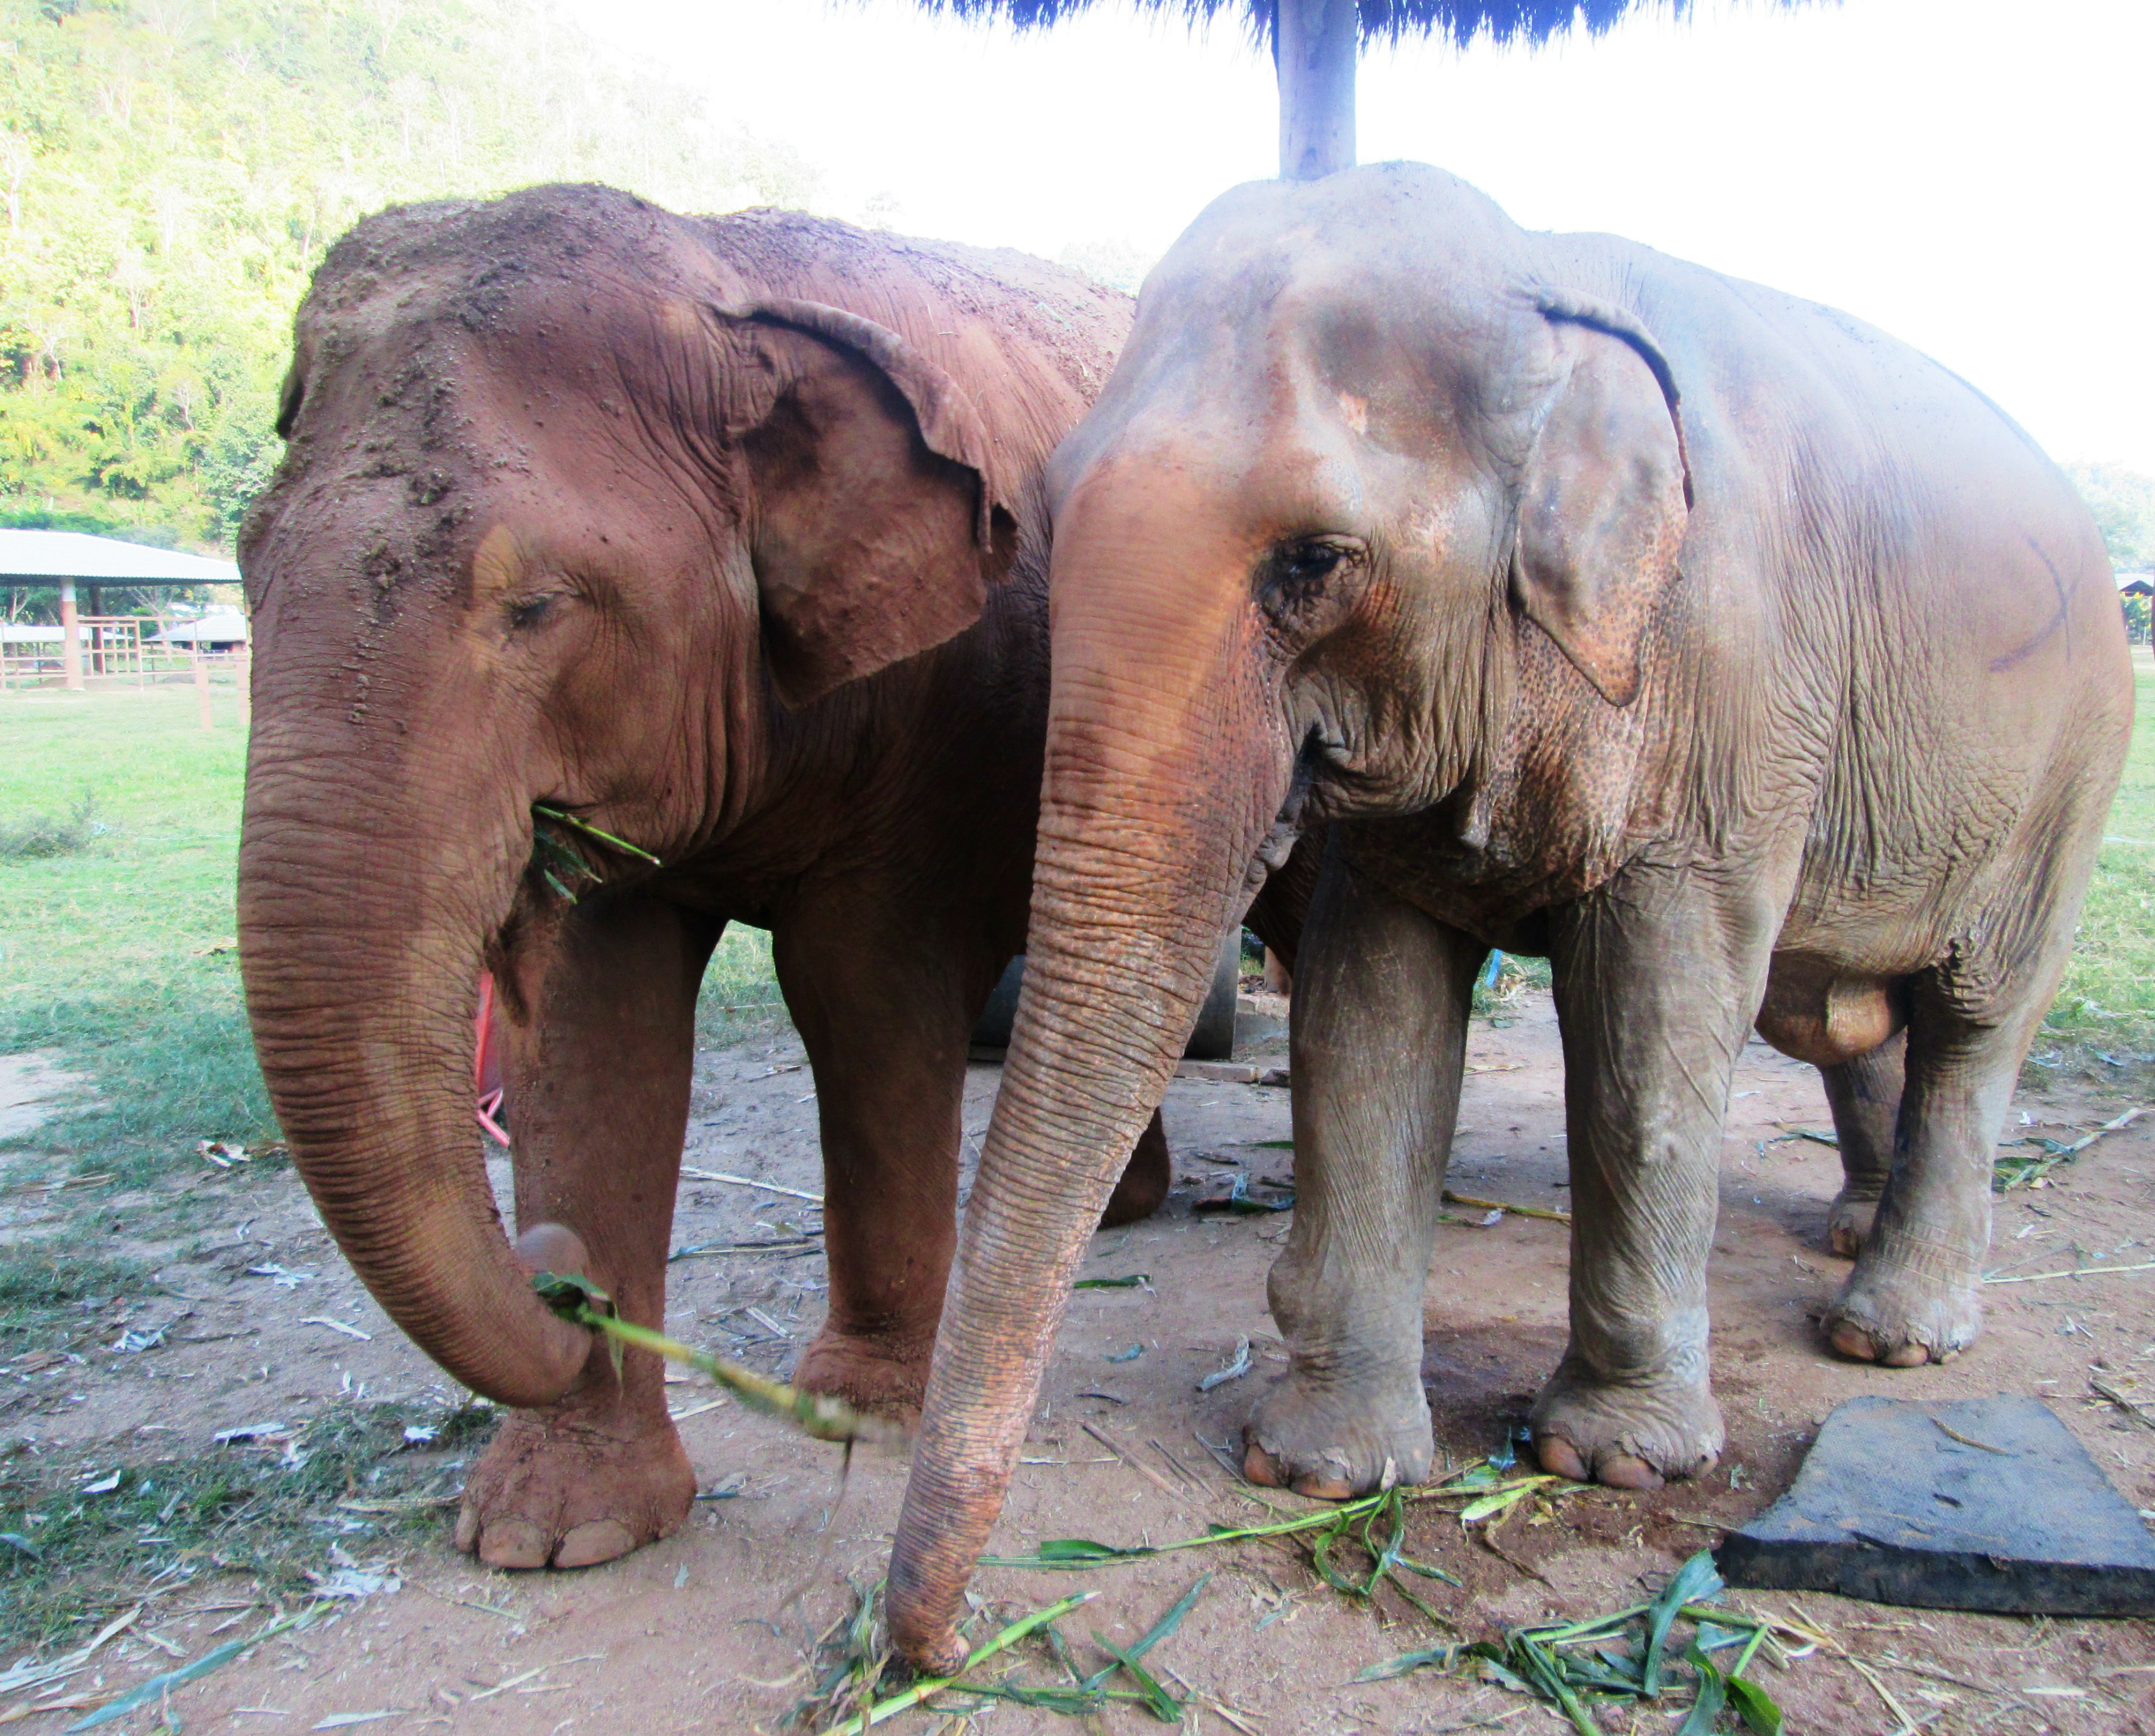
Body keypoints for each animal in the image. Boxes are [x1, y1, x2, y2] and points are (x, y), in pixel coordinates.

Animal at [235, 183, 1197, 1573]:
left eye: (534, 606)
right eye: (244, 567)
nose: (560, 1277)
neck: (724, 281)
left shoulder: (939, 715)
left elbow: (862, 994)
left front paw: (860, 1412)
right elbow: (596, 1014)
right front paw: (550, 1534)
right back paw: (1123, 1210)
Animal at [884, 161, 2131, 1668]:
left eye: (1314, 561)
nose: (935, 1649)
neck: (1543, 277)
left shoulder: (1727, 698)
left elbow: (1650, 1031)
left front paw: (1613, 1461)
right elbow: (1365, 1020)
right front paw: (1318, 1471)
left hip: (2069, 773)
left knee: (1976, 1014)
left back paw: (1886, 1335)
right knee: (1860, 1013)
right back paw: (1847, 1232)